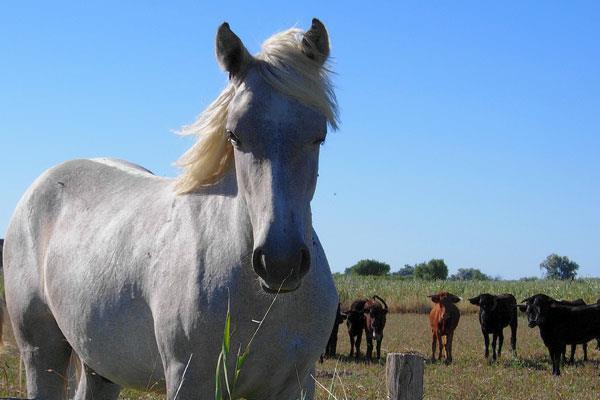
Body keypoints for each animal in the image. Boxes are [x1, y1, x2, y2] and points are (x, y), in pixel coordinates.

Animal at [3, 19, 338, 400]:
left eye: (319, 136)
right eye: (234, 135)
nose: (280, 263)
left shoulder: (296, 383)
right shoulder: (188, 379)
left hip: (99, 366)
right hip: (41, 352)